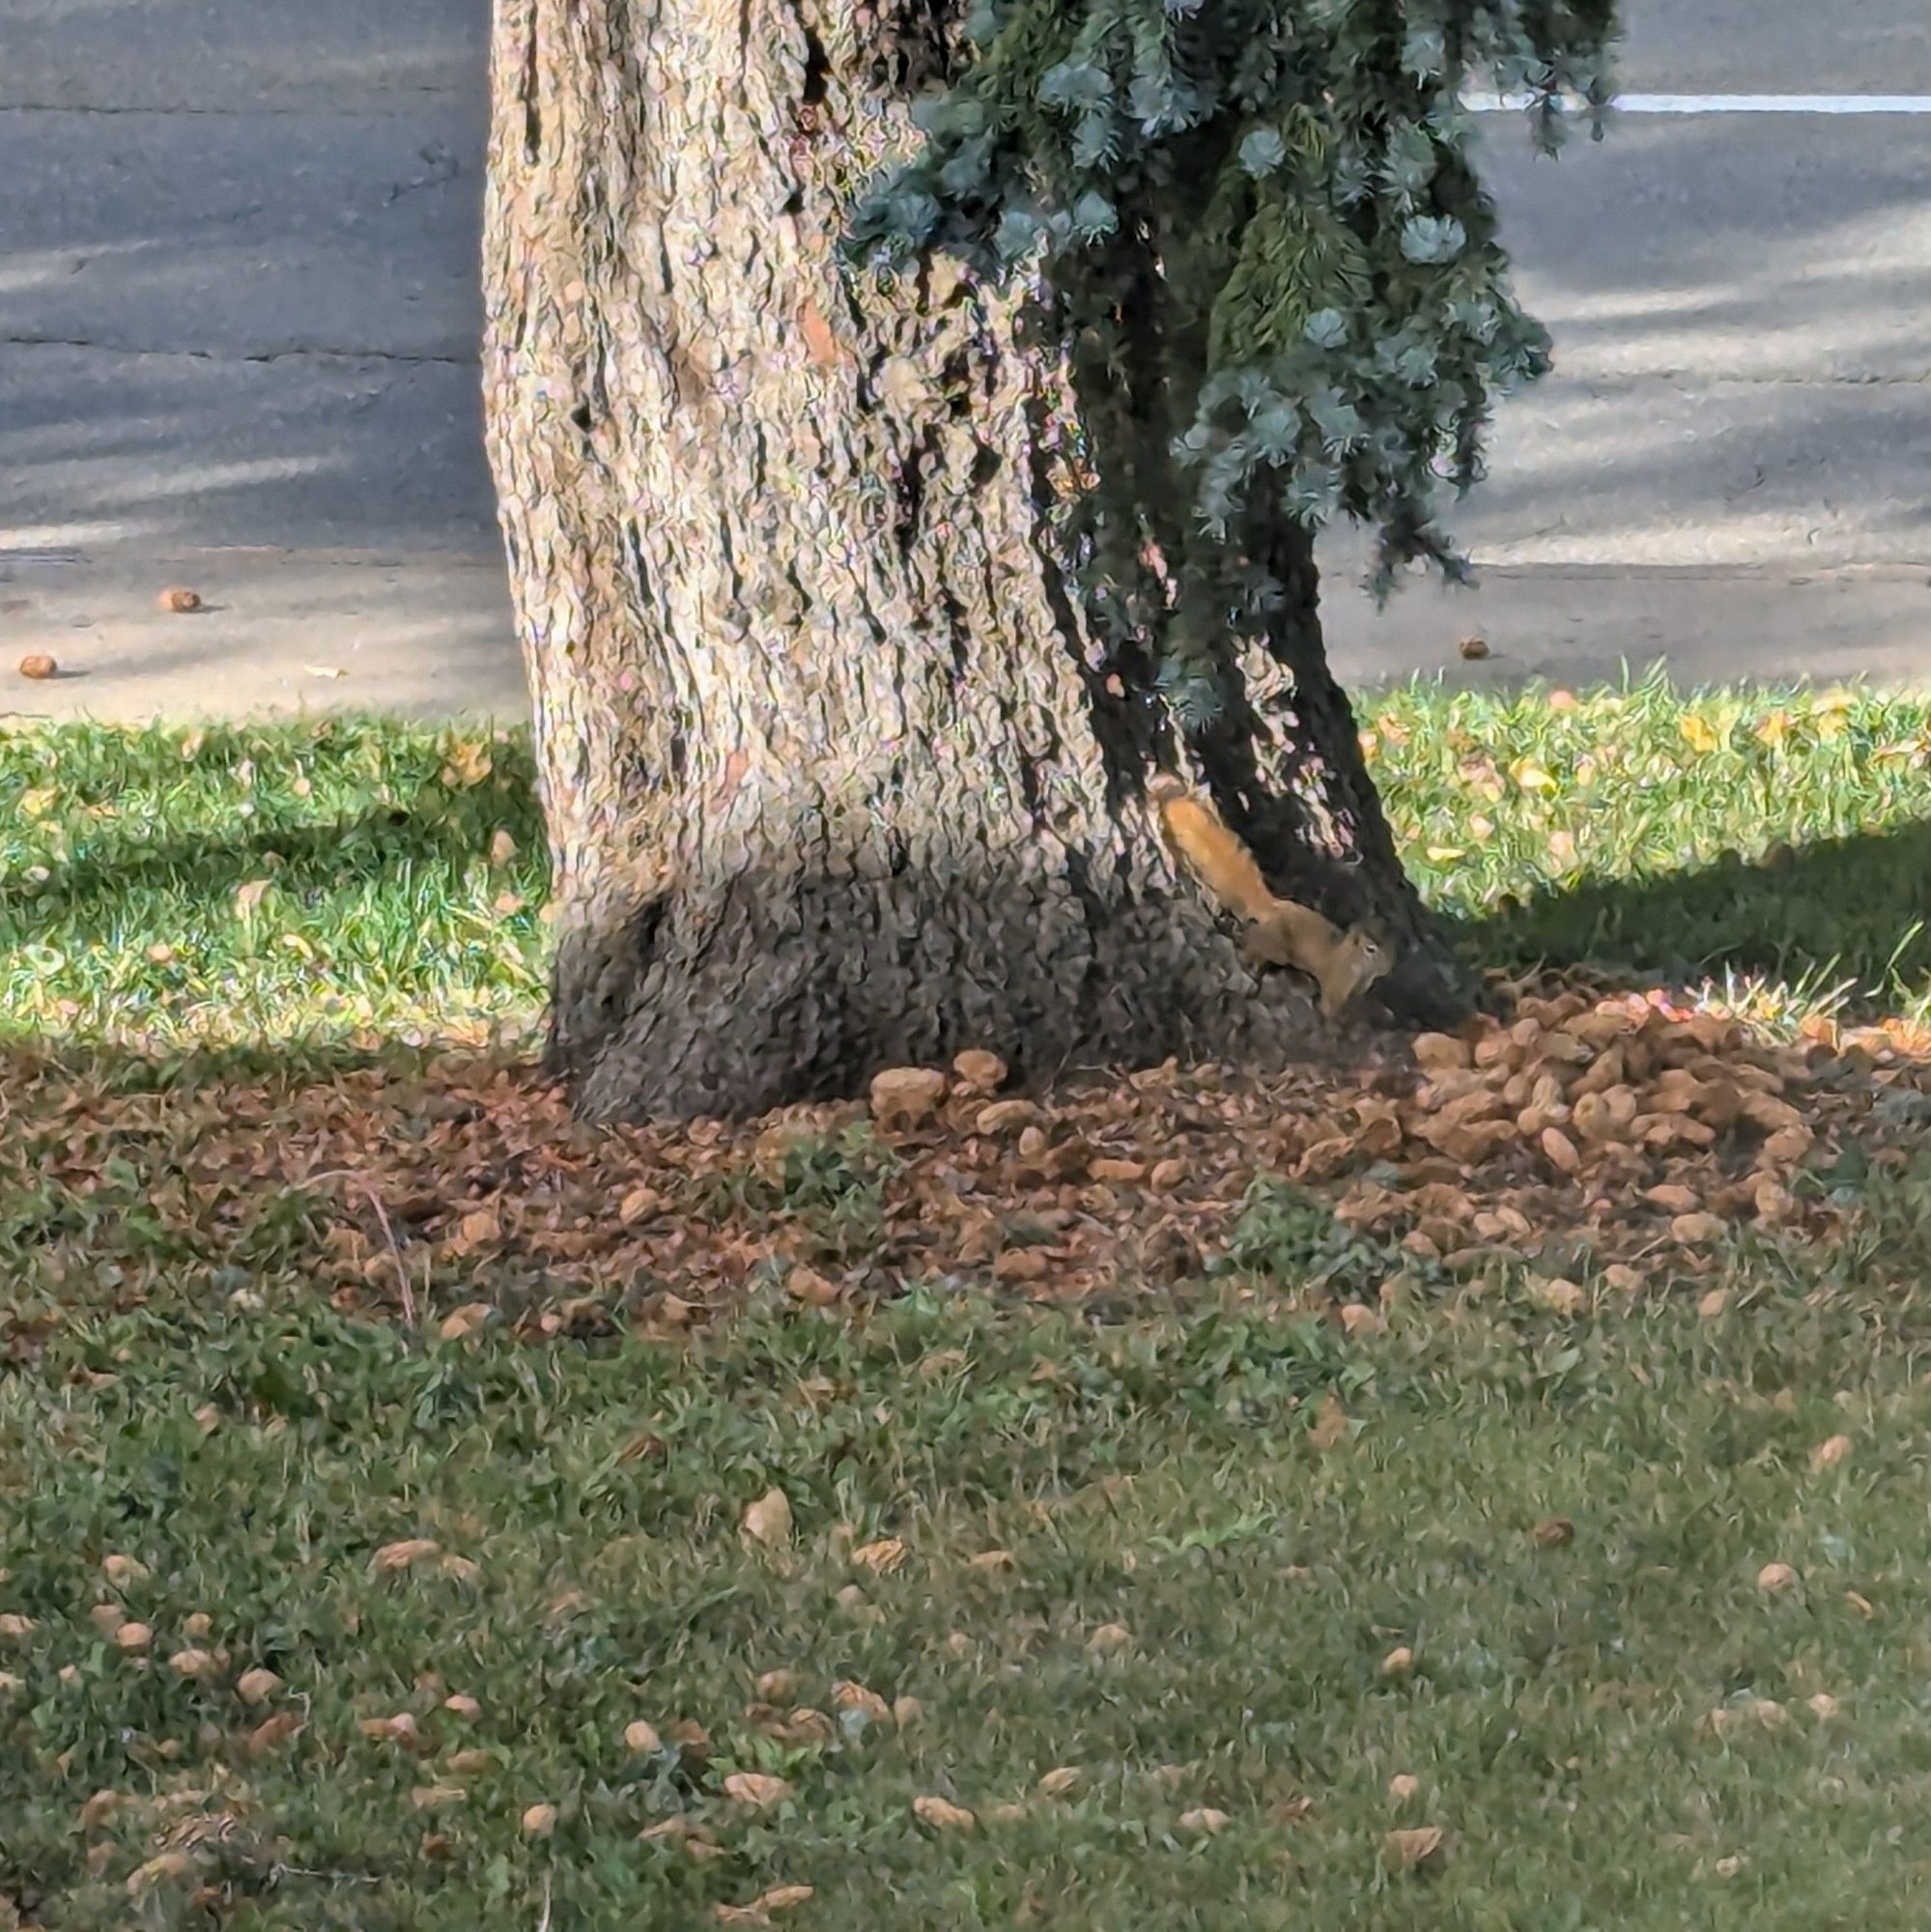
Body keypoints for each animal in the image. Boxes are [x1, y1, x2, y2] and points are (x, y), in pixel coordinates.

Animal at [1143, 769, 1390, 1020]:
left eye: (1392, 943)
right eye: (1370, 949)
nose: (1387, 967)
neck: (1351, 958)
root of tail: (1272, 906)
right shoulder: (1337, 982)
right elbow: (1332, 1009)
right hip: (1275, 943)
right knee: (1254, 945)